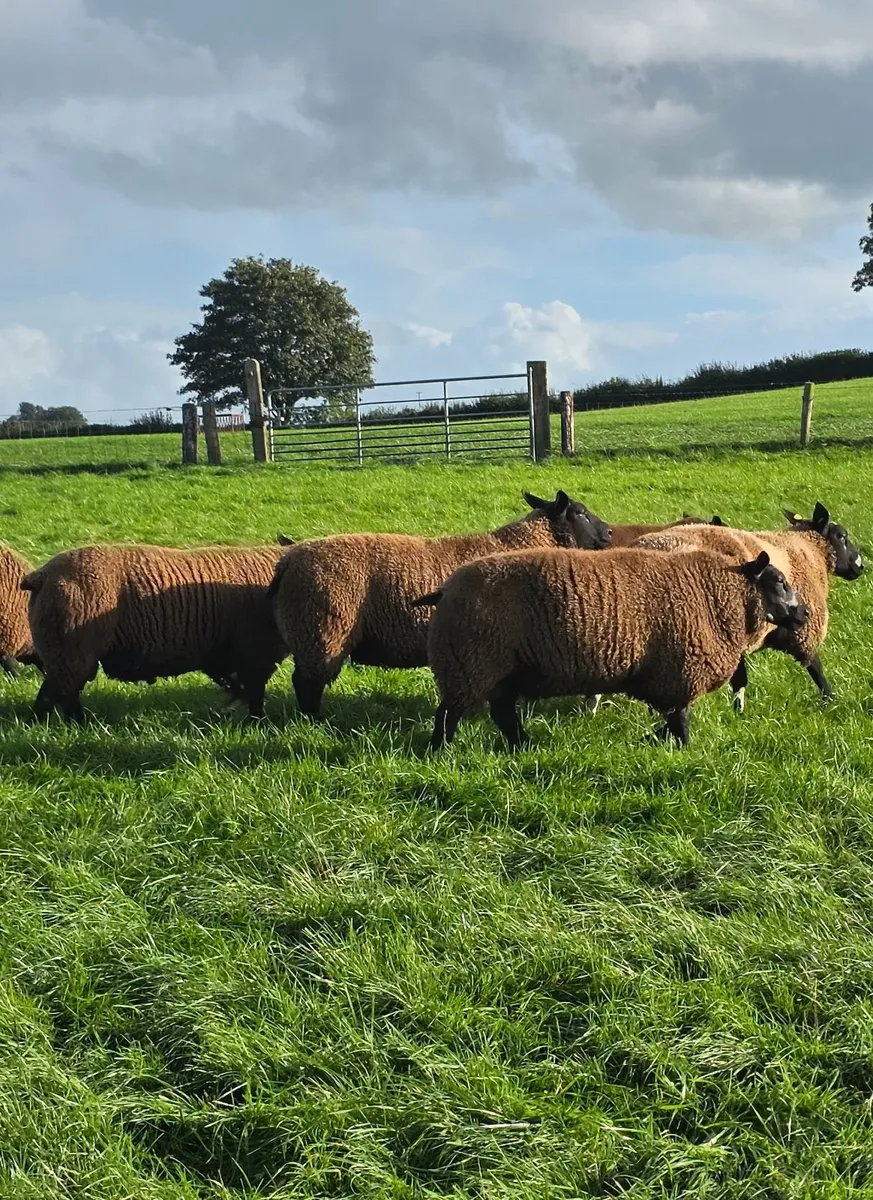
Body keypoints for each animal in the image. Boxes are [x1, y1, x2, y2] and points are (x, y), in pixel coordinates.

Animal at [21, 543, 289, 722]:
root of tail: (42, 575)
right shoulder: (256, 652)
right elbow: (255, 694)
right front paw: (257, 724)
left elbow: (241, 687)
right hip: (71, 652)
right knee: (60, 696)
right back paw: (74, 726)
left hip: (63, 653)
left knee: (56, 695)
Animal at [268, 489, 612, 716]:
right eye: (580, 513)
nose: (609, 532)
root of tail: (288, 560)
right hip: (321, 630)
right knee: (306, 683)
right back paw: (316, 722)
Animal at [414, 546, 807, 751]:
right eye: (778, 581)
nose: (804, 613)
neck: (715, 593)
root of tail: (446, 589)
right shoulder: (679, 672)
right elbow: (680, 722)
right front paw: (683, 751)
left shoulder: (667, 678)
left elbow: (669, 720)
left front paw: (652, 738)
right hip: (469, 664)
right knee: (448, 715)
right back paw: (440, 752)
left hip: (501, 670)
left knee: (502, 714)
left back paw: (523, 745)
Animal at [631, 501, 863, 711]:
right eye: (842, 536)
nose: (860, 567)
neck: (808, 549)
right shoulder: (803, 629)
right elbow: (816, 667)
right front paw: (830, 700)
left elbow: (740, 678)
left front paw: (738, 712)